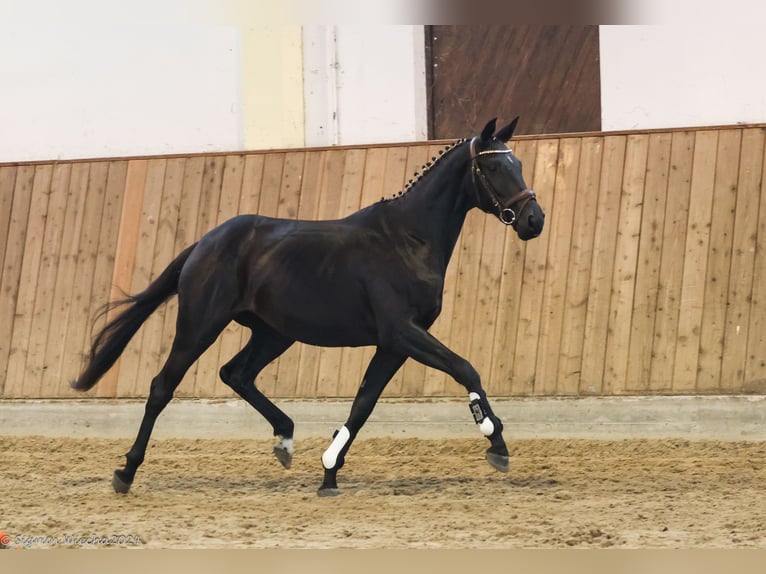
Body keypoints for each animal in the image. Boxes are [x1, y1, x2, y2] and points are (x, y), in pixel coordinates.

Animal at [72, 116, 544, 496]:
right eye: (494, 166)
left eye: (518, 164)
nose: (533, 220)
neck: (408, 239)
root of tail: (205, 242)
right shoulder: (401, 332)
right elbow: (465, 368)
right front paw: (496, 441)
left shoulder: (394, 343)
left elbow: (363, 403)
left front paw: (329, 471)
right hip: (199, 326)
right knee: (162, 387)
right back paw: (126, 473)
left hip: (273, 333)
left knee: (235, 373)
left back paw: (284, 438)